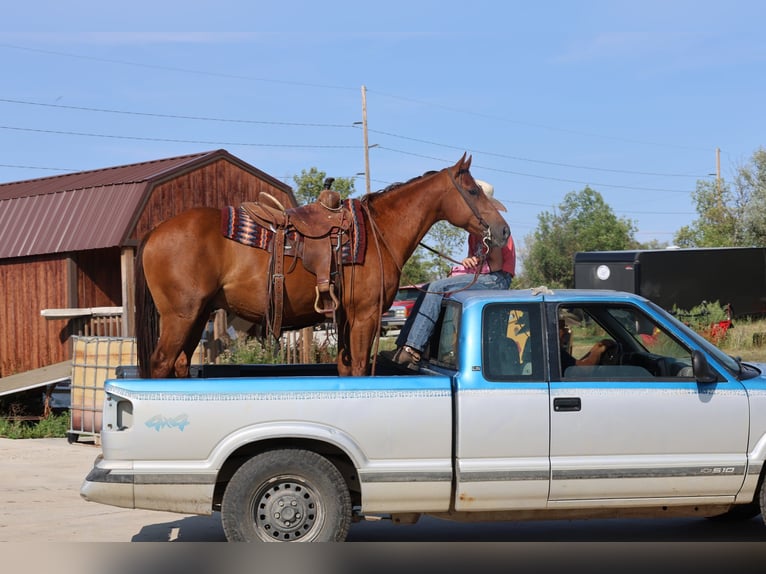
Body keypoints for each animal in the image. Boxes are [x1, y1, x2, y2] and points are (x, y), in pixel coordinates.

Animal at [135, 153, 510, 378]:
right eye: (472, 191)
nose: (503, 230)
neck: (379, 231)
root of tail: (154, 231)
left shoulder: (345, 318)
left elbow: (345, 369)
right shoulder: (364, 316)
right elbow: (358, 369)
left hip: (198, 316)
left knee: (179, 365)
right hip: (180, 316)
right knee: (161, 364)